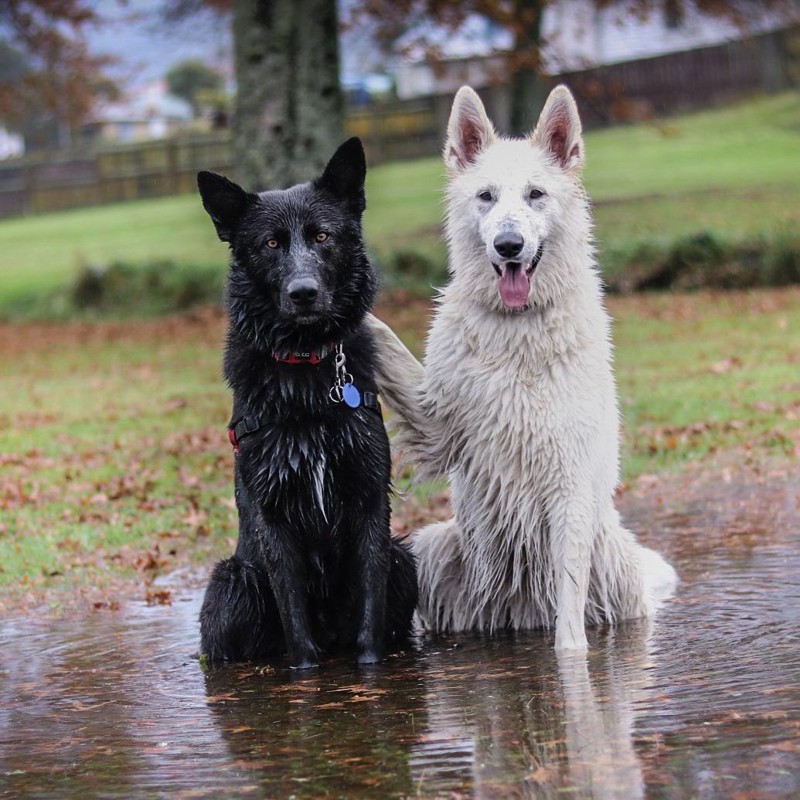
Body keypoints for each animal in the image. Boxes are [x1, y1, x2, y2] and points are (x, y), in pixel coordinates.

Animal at [196, 138, 416, 668]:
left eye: (321, 236)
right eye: (271, 245)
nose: (303, 293)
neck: (306, 369)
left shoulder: (370, 501)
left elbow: (370, 620)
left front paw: (370, 670)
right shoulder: (273, 515)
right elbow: (296, 626)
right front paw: (305, 676)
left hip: (404, 561)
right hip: (234, 583)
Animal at [368, 86, 676, 648]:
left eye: (535, 194)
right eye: (486, 196)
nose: (508, 245)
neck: (517, 327)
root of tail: (521, 613)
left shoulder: (568, 486)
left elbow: (569, 618)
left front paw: (570, 664)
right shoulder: (436, 426)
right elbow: (386, 340)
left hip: (614, 560)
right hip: (435, 550)